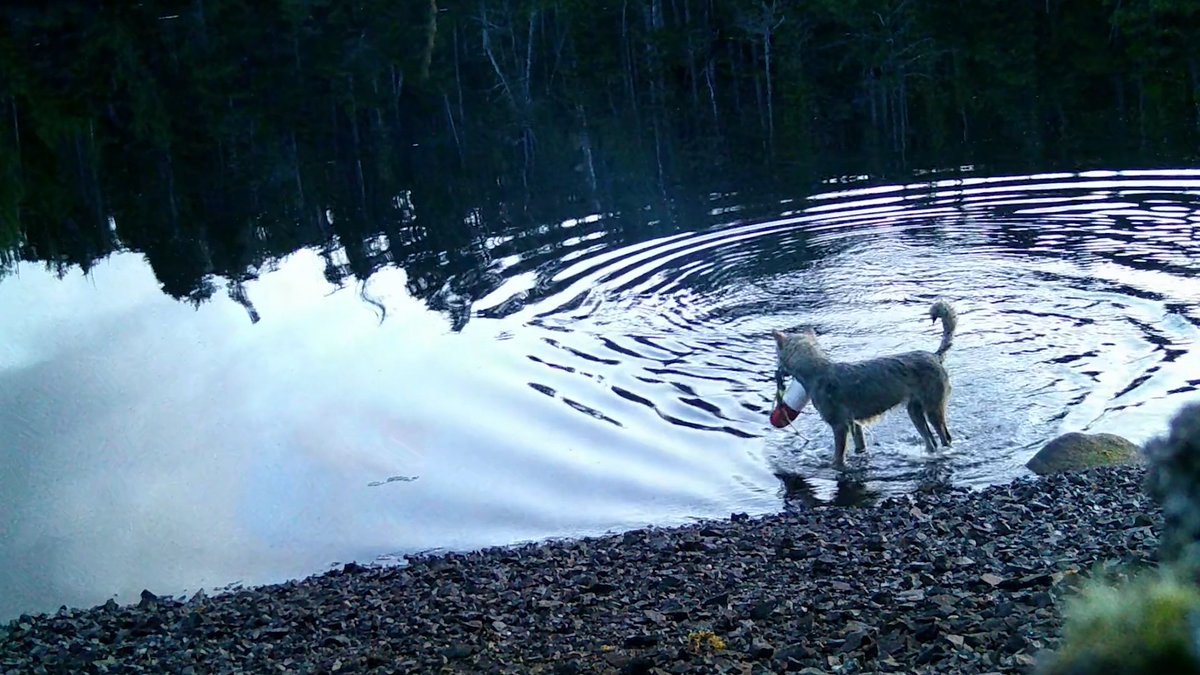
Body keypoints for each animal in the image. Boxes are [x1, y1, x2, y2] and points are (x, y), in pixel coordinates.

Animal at [772, 301, 958, 467]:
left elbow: (838, 458)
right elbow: (860, 447)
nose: (777, 372)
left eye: (777, 354)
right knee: (931, 442)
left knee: (945, 438)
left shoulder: (840, 426)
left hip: (933, 410)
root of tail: (935, 356)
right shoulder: (855, 424)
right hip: (915, 411)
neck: (817, 371)